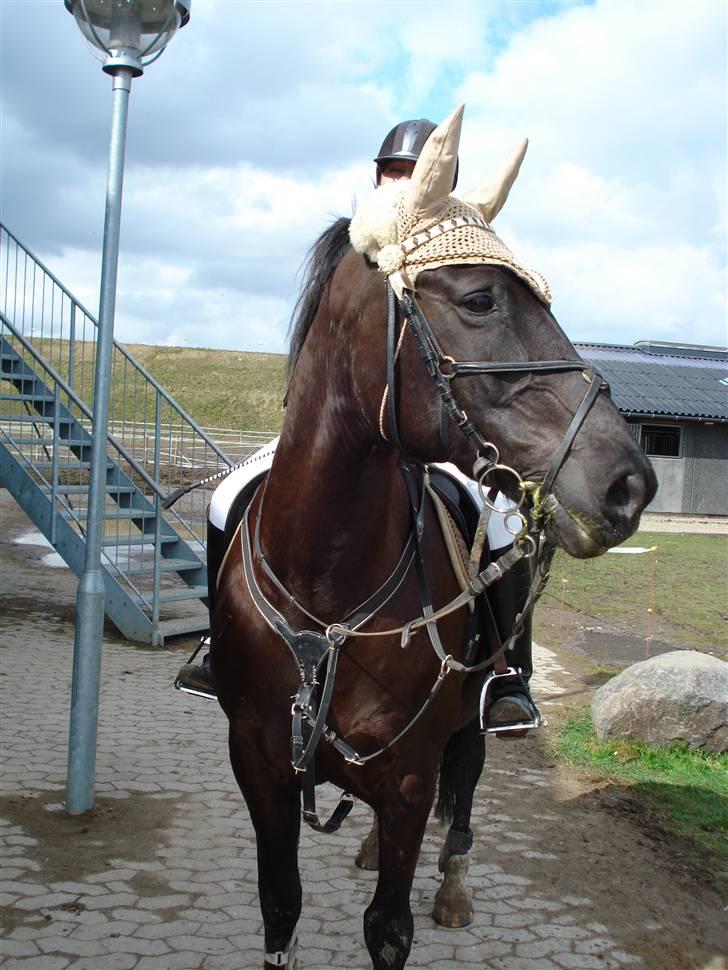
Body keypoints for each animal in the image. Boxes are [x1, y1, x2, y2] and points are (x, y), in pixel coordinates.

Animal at [209, 109, 656, 964]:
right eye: (480, 299)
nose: (630, 484)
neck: (328, 593)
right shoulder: (260, 770)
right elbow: (279, 906)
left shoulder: (411, 780)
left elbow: (390, 925)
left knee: (469, 781)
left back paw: (453, 882)